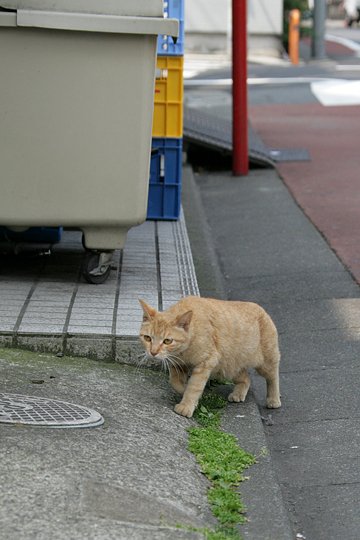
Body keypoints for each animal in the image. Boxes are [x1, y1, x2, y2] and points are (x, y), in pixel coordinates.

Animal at [139, 296, 282, 418]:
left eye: (167, 341)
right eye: (147, 338)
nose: (153, 352)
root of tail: (260, 308)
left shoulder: (205, 364)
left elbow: (194, 387)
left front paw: (186, 405)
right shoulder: (178, 364)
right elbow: (175, 383)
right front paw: (184, 390)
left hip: (266, 363)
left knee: (273, 377)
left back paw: (274, 399)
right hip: (229, 368)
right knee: (246, 378)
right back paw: (238, 393)